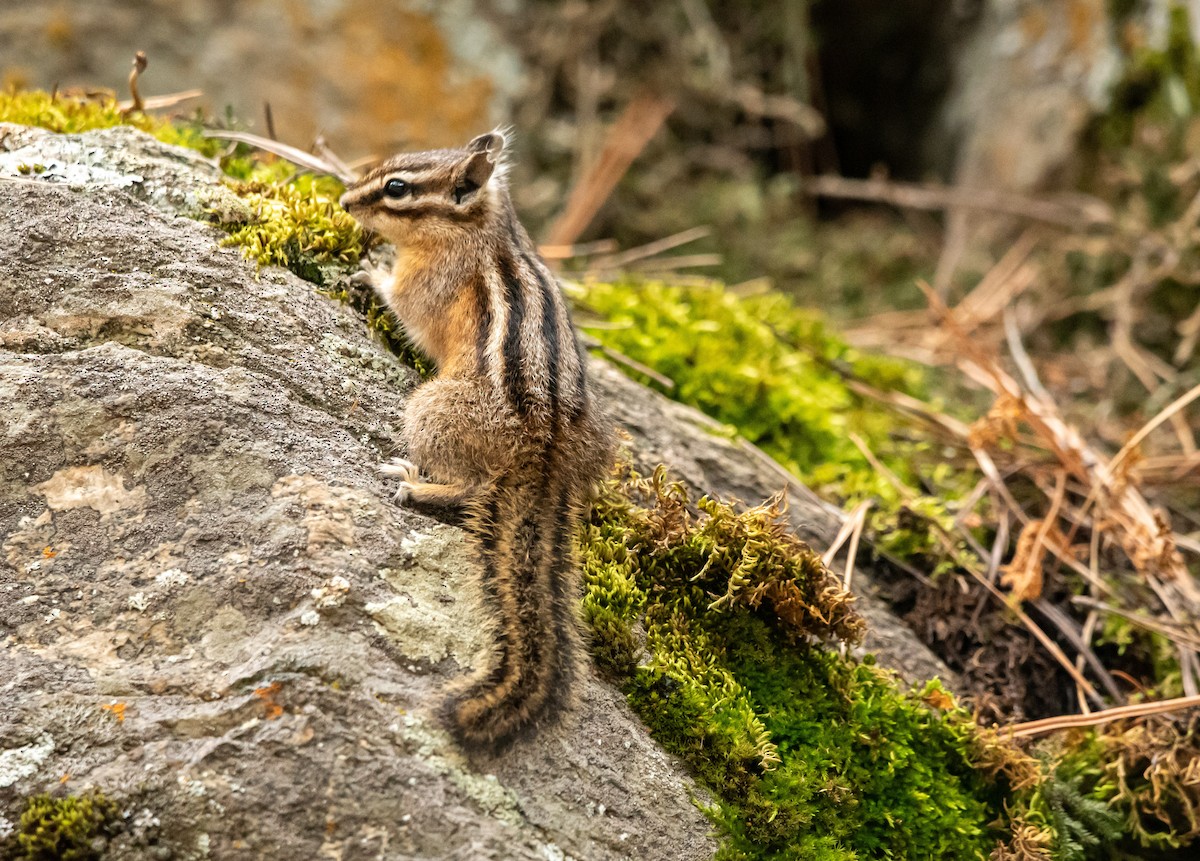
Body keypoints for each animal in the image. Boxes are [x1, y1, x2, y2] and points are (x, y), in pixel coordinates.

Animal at [339, 131, 614, 749]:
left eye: (397, 187)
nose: (343, 201)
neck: (484, 229)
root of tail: (547, 456)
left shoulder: (429, 284)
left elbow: (402, 303)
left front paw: (370, 272)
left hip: (428, 410)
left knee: (470, 488)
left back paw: (415, 484)